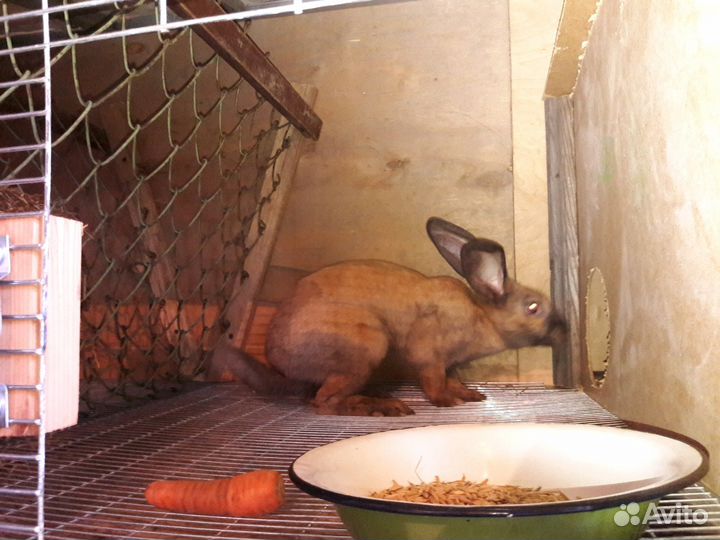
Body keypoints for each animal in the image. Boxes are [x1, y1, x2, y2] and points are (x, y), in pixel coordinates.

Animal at [215, 217, 565, 416]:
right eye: (533, 307)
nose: (565, 329)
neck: (483, 316)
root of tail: (278, 360)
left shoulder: (451, 364)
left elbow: (453, 379)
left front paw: (471, 395)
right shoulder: (428, 356)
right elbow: (434, 383)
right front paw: (448, 403)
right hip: (367, 345)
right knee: (324, 403)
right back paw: (385, 408)